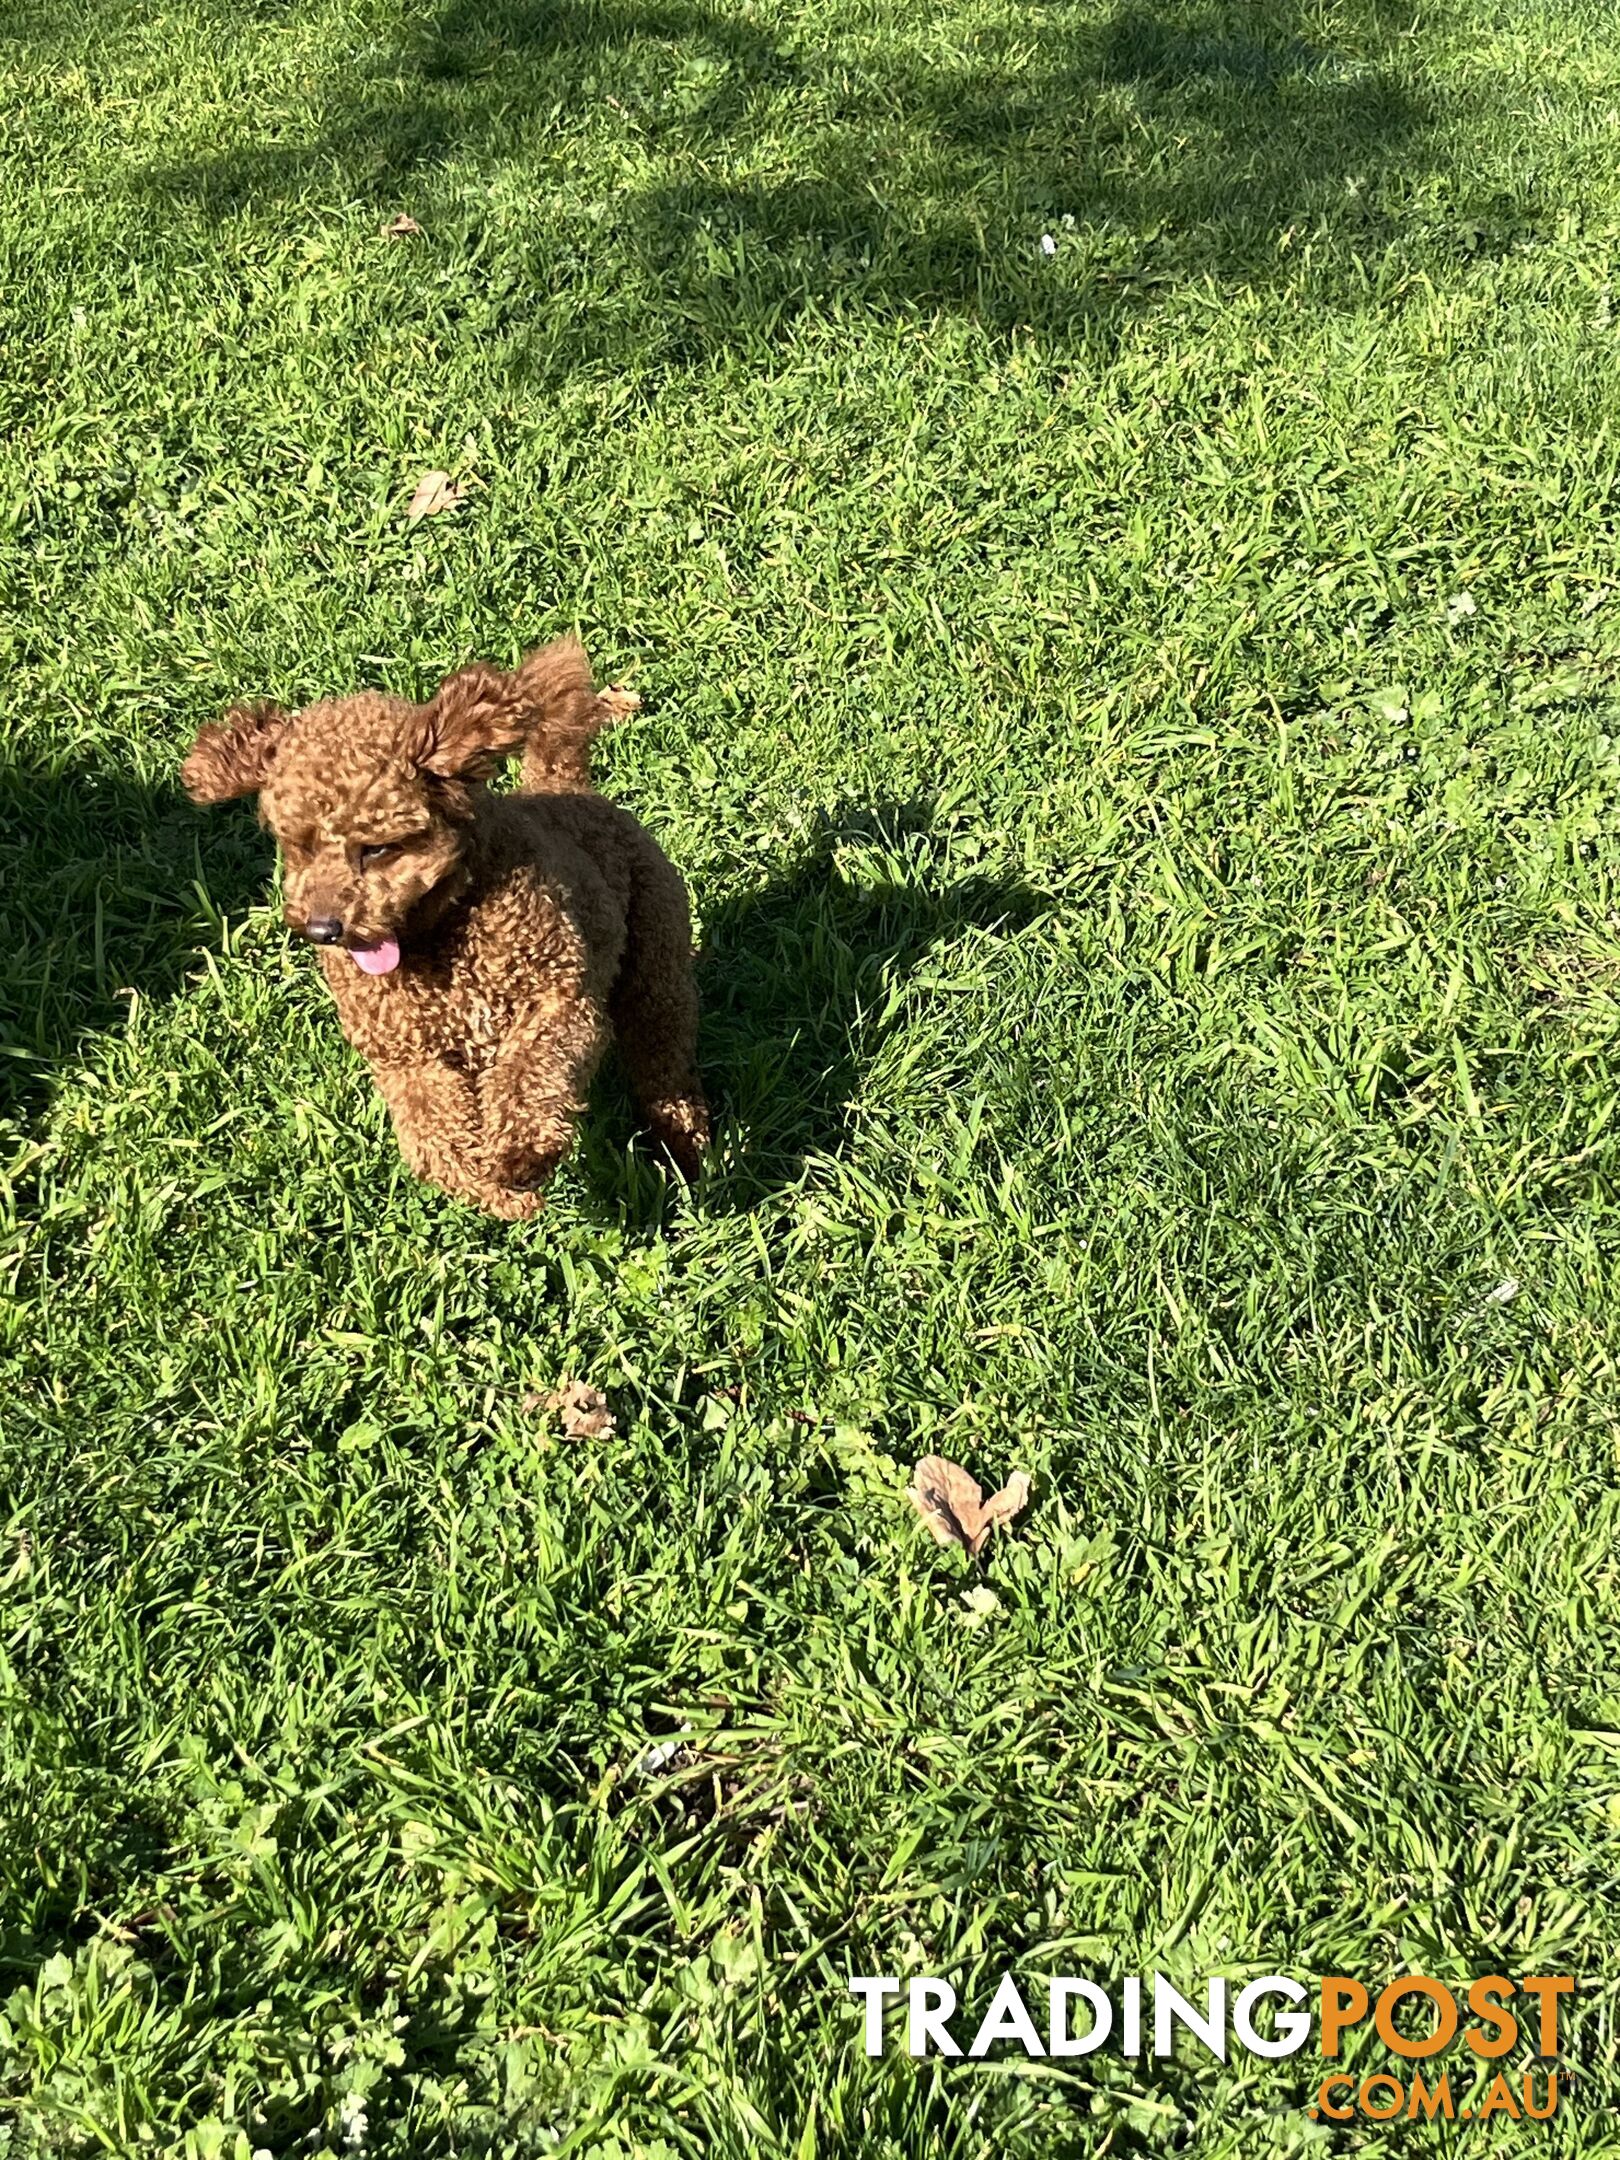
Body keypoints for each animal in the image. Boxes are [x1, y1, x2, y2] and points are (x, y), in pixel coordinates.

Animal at [180, 635, 708, 1218]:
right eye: (297, 846)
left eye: (378, 848)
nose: (324, 929)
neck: (439, 939)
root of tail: (564, 782)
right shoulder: (408, 1059)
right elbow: (435, 1139)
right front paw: (498, 1192)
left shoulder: (559, 1000)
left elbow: (529, 1074)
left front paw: (522, 1153)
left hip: (654, 958)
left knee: (663, 1054)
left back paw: (684, 1144)